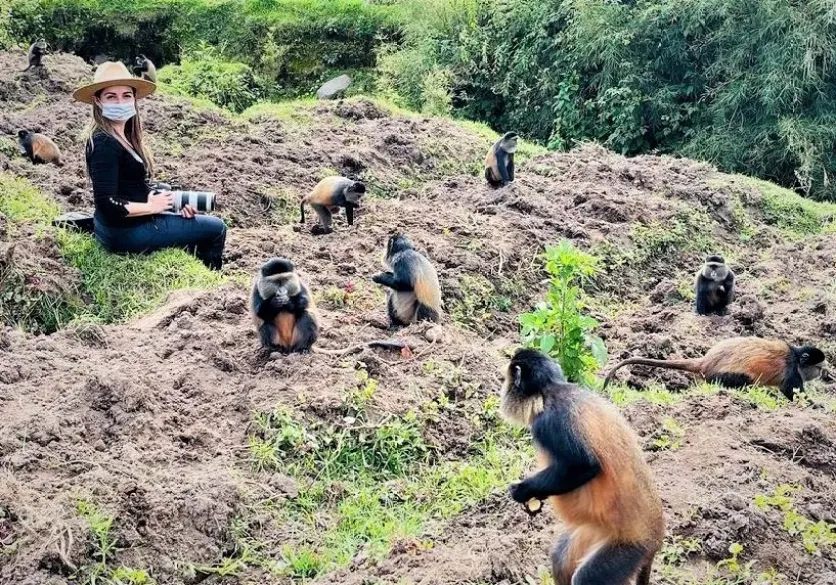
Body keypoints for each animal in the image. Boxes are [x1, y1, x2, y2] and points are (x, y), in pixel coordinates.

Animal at [501, 348, 665, 585]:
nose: (503, 392)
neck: (553, 390)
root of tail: (655, 538)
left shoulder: (548, 421)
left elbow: (584, 466)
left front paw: (522, 490)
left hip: (630, 549)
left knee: (586, 578)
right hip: (594, 533)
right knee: (560, 557)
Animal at [602, 337, 827, 400]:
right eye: (818, 367)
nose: (823, 373)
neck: (796, 357)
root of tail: (706, 361)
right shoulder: (792, 372)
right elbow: (792, 393)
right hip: (725, 375)